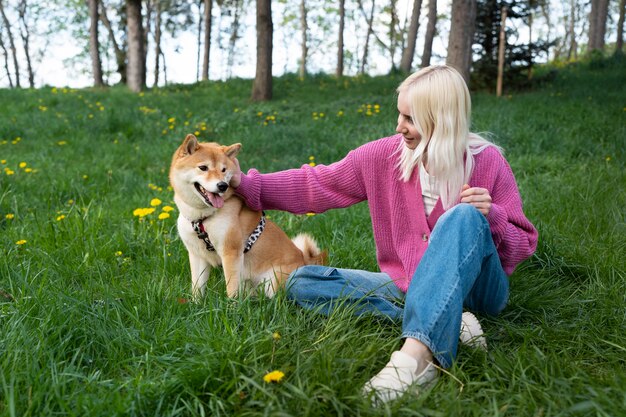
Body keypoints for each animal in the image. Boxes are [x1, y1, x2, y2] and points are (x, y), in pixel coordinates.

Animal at [171, 135, 326, 298]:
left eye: (223, 169)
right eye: (203, 168)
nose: (222, 185)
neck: (202, 218)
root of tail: (305, 260)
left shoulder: (231, 252)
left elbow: (231, 287)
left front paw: (231, 304)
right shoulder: (196, 254)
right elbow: (197, 287)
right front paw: (196, 303)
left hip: (273, 281)